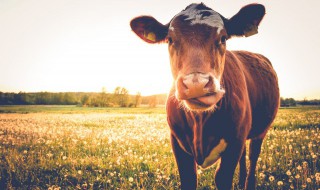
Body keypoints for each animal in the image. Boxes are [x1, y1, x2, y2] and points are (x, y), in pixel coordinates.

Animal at [131, 2, 280, 190]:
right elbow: (189, 178)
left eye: (223, 38)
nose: (196, 84)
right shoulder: (177, 142)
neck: (200, 122)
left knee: (253, 155)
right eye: (170, 39)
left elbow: (222, 177)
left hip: (261, 130)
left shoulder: (235, 141)